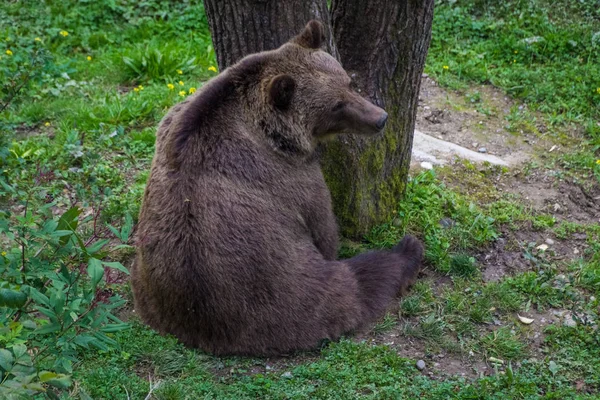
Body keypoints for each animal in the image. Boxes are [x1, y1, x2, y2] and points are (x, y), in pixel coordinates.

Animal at [131, 20, 422, 356]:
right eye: (336, 106)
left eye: (348, 83)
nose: (380, 118)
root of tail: (203, 331)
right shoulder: (292, 175)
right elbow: (323, 227)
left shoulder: (171, 119)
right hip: (289, 295)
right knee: (361, 280)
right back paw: (407, 249)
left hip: (146, 283)